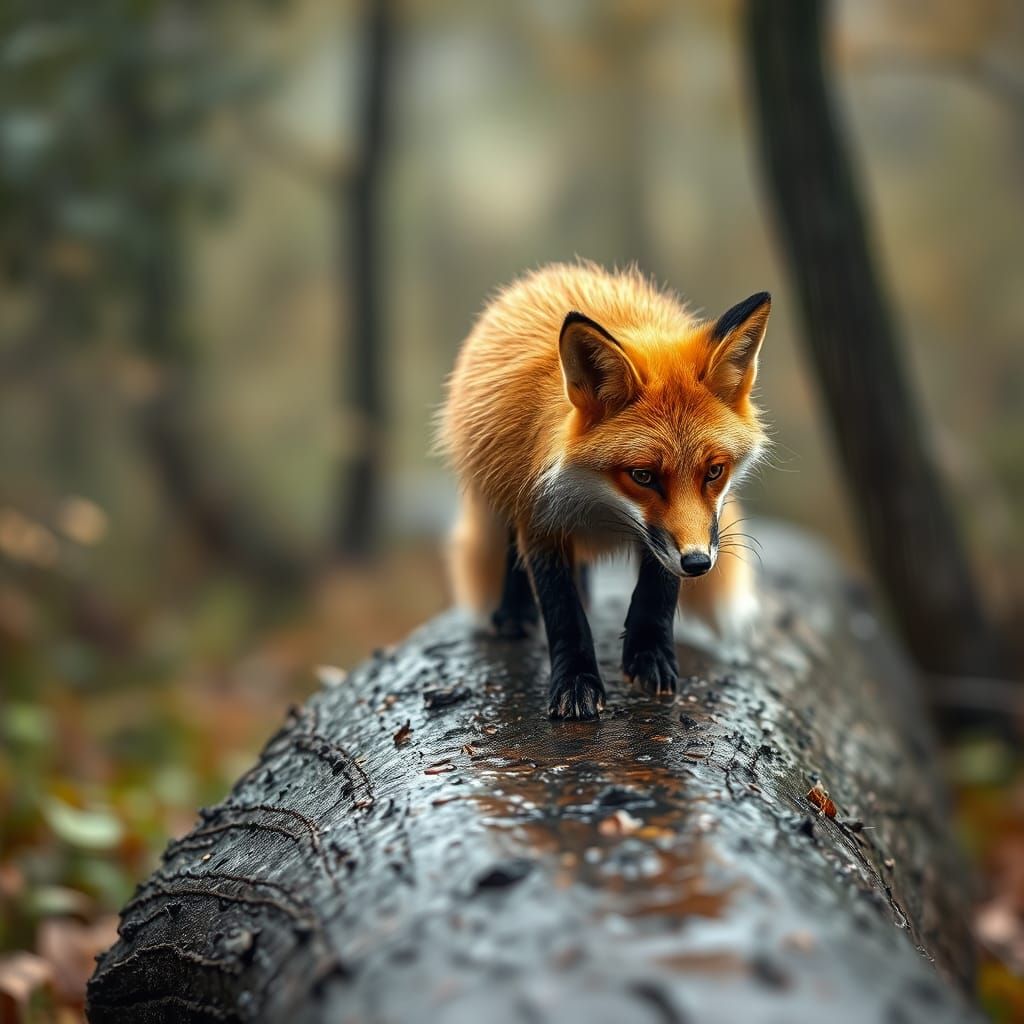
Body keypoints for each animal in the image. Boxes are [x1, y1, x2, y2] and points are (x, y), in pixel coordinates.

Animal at [438, 261, 771, 721]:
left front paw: (650, 655)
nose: (699, 564)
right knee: (512, 553)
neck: (598, 504)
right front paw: (576, 683)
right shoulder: (539, 517)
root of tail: (554, 272)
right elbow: (563, 610)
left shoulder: (669, 538)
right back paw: (514, 613)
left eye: (714, 471)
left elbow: (658, 589)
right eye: (643, 475)